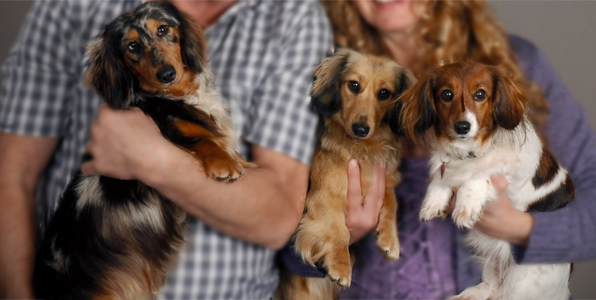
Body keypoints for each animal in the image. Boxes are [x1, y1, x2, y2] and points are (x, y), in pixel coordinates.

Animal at [33, 2, 251, 300]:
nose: (166, 74)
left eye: (163, 29)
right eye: (132, 46)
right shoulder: (171, 131)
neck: (176, 94)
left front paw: (240, 160)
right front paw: (224, 163)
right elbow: (203, 140)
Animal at [278, 49, 416, 300]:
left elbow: (391, 204)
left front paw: (390, 238)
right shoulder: (325, 197)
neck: (363, 147)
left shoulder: (386, 182)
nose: (360, 129)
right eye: (354, 85)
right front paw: (341, 266)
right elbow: (338, 229)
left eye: (384, 93)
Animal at [396, 61, 572, 300]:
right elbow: (442, 178)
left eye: (480, 94)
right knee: (490, 286)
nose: (462, 127)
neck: (470, 150)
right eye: (447, 95)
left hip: (522, 281)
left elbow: (480, 174)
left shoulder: (515, 172)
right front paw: (433, 201)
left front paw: (465, 205)